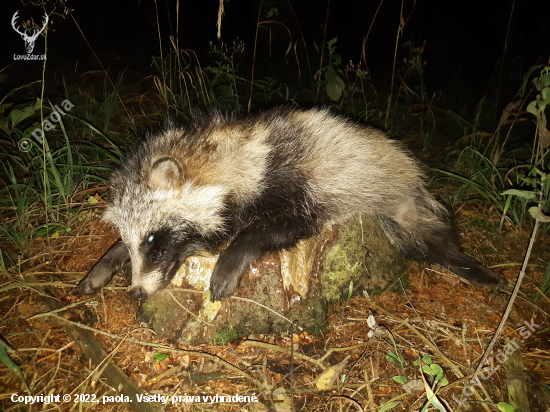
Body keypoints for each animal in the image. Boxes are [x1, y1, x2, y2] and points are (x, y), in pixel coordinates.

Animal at [74, 108, 504, 300]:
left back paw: (467, 264)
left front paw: (232, 257)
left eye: (152, 240)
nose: (136, 294)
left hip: (400, 199)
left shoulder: (295, 186)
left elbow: (273, 228)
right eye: (135, 241)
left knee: (433, 237)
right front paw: (106, 261)